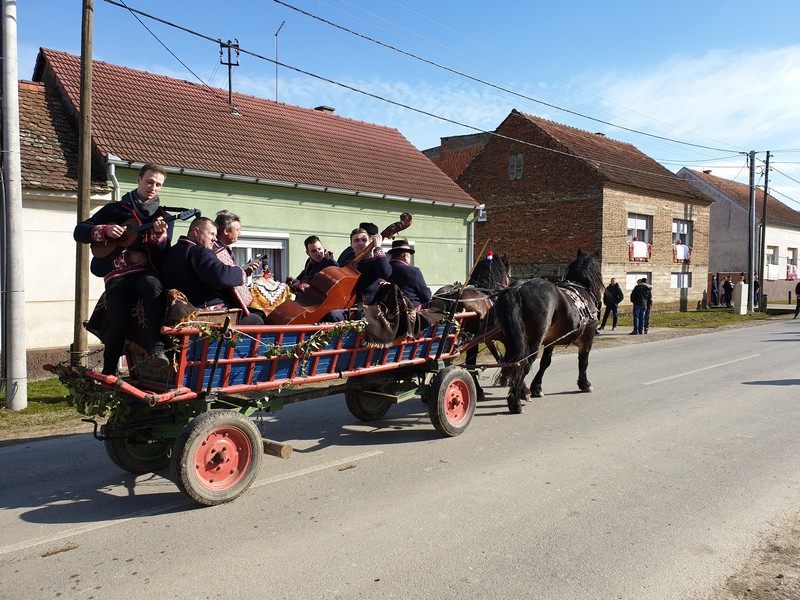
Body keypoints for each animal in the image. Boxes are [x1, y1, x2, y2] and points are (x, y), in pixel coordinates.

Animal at [494, 251, 600, 414]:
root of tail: (517, 289)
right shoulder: (588, 337)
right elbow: (584, 361)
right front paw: (585, 383)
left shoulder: (551, 340)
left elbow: (545, 362)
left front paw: (536, 387)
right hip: (532, 342)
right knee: (523, 364)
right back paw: (515, 401)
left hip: (512, 340)